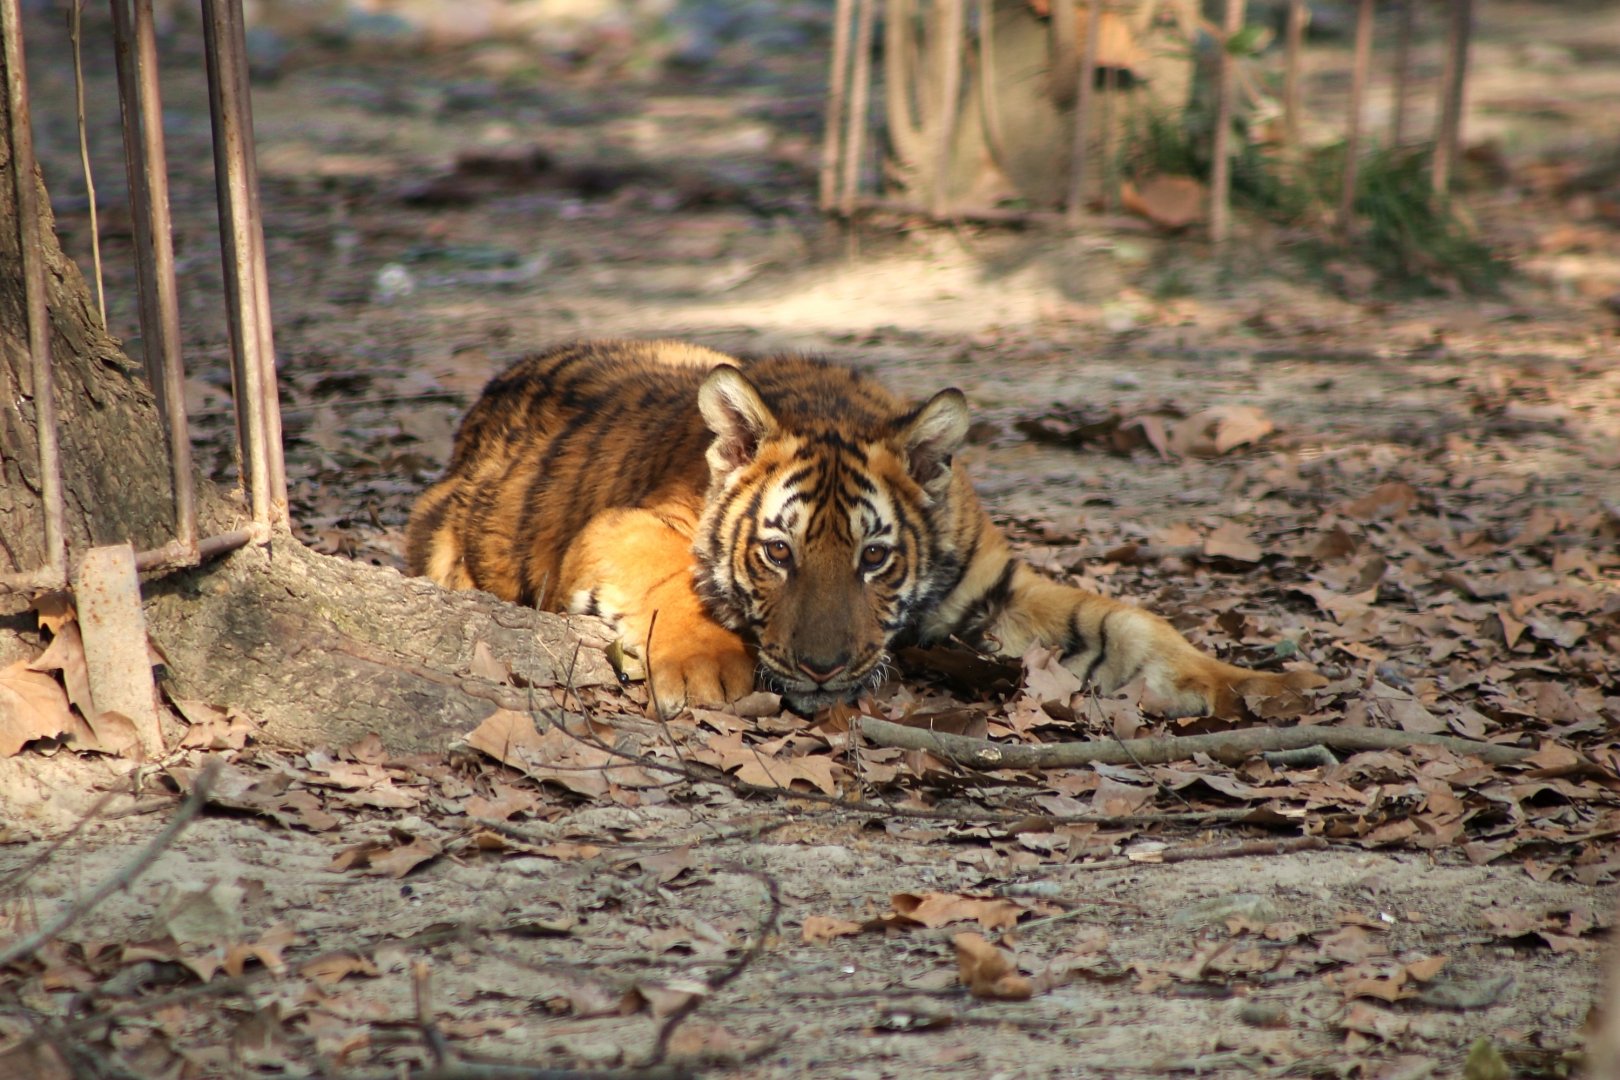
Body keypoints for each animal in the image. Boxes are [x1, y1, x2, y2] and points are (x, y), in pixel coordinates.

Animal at [405, 339, 1323, 717]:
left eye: (876, 558)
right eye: (777, 553)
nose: (822, 667)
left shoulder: (993, 586)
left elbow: (1132, 626)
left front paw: (1263, 685)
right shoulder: (629, 522)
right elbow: (675, 576)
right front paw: (706, 671)